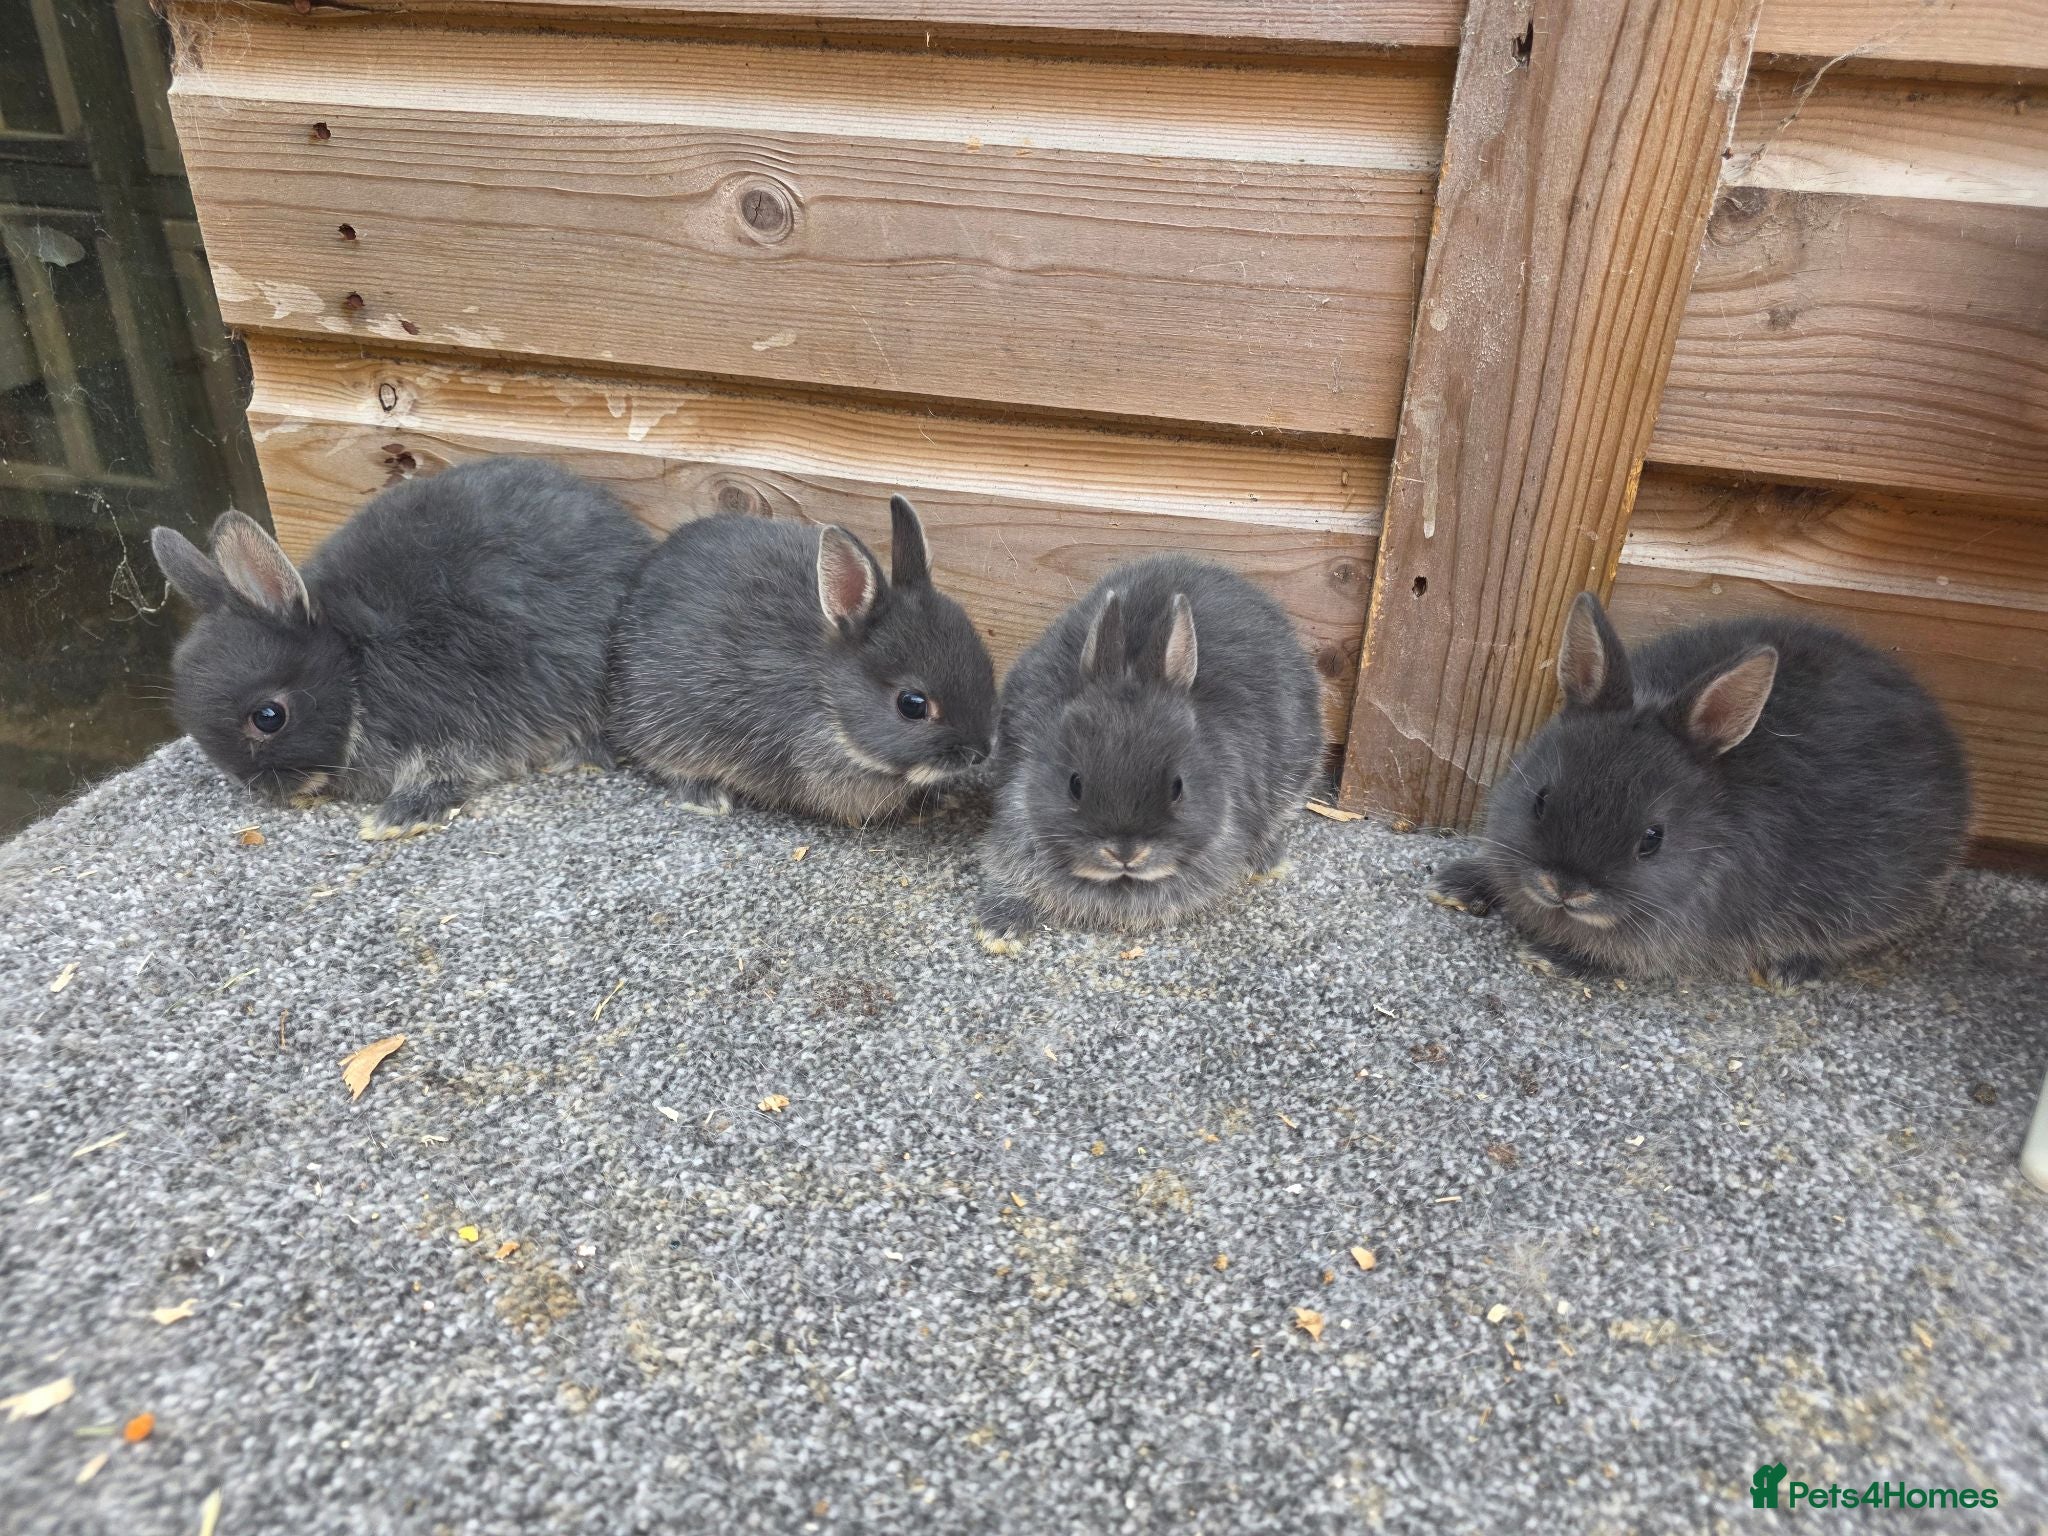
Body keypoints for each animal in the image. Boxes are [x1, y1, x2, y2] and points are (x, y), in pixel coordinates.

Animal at [151, 456, 652, 840]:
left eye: (268, 717)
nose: (258, 788)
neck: (352, 662)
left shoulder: (452, 714)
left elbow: (443, 767)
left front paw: (400, 818)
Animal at [1427, 592, 1971, 985]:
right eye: (1540, 800)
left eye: (1652, 840)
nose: (1565, 888)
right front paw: (1458, 884)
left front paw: (1553, 958)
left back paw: (1793, 969)